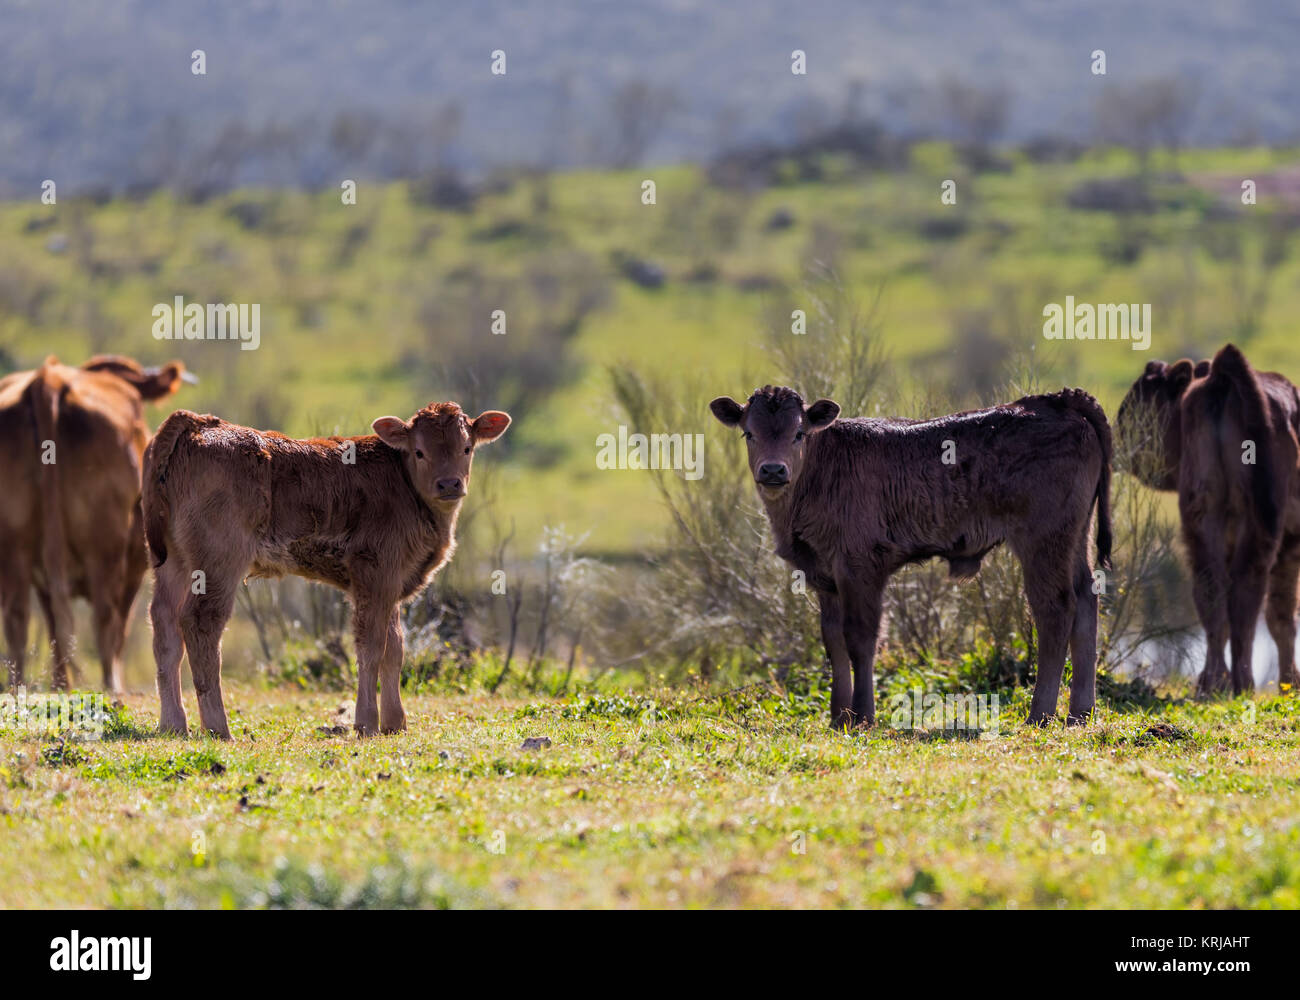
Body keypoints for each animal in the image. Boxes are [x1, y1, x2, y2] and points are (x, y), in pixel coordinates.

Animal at [0, 353, 189, 691]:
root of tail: (48, 380)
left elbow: (53, 626)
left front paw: (60, 685)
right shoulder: (135, 564)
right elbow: (120, 624)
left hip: (14, 544)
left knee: (18, 617)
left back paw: (17, 684)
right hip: (105, 544)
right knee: (105, 616)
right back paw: (110, 684)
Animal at [141, 400, 506, 738]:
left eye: (467, 447)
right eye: (419, 451)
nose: (449, 484)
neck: (404, 485)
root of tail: (199, 423)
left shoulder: (392, 582)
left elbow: (395, 648)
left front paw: (395, 723)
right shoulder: (375, 573)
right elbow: (372, 646)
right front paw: (366, 723)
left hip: (175, 561)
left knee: (164, 626)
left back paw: (174, 724)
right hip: (218, 561)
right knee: (201, 623)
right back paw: (218, 727)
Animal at [707, 382, 1112, 728]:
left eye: (798, 433)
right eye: (749, 433)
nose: (773, 470)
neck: (824, 468)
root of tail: (1054, 401)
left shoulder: (860, 567)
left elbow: (861, 638)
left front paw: (863, 716)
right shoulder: (825, 576)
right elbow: (833, 641)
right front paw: (838, 717)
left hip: (1043, 541)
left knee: (1055, 609)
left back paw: (1040, 714)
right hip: (1075, 537)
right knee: (1086, 599)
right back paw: (1080, 713)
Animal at [1118, 343, 1300, 697]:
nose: (1119, 438)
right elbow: (1281, 615)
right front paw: (1291, 685)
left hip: (1202, 517)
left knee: (1213, 591)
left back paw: (1212, 682)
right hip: (1258, 528)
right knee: (1247, 595)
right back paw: (1242, 683)